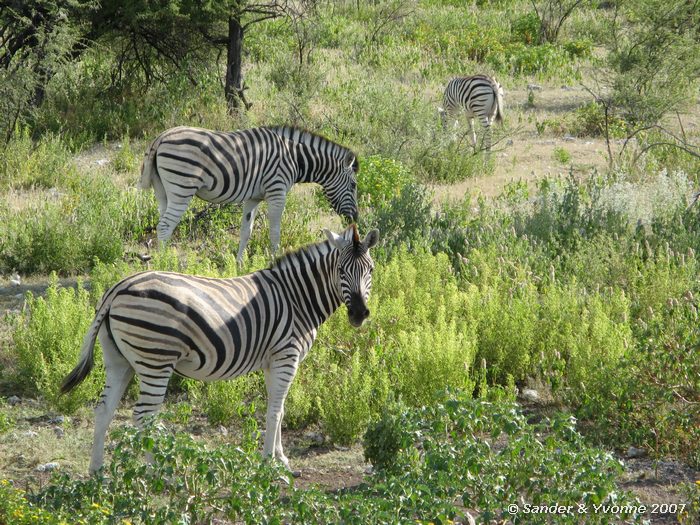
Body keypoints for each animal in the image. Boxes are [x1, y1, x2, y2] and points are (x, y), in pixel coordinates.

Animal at [61, 224, 379, 474]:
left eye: (371, 270)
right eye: (340, 270)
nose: (360, 314)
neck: (296, 298)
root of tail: (117, 288)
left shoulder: (273, 361)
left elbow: (279, 409)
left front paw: (280, 457)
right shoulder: (286, 356)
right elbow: (275, 411)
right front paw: (269, 462)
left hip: (119, 360)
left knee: (104, 410)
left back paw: (97, 470)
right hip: (156, 359)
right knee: (144, 416)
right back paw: (155, 473)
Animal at [139, 126, 360, 263]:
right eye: (354, 185)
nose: (354, 218)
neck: (295, 158)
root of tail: (161, 137)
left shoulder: (253, 197)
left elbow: (246, 231)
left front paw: (239, 264)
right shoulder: (277, 192)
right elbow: (275, 232)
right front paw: (274, 261)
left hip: (163, 191)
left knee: (162, 225)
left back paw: (163, 261)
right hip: (182, 188)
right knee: (165, 227)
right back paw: (166, 265)